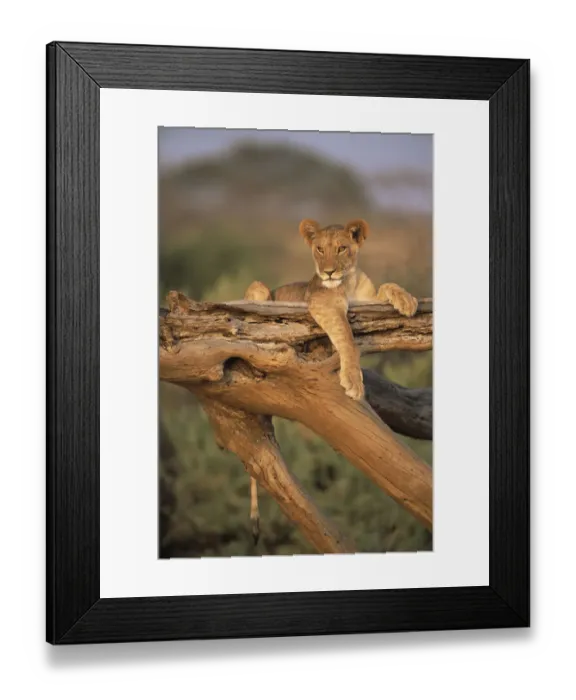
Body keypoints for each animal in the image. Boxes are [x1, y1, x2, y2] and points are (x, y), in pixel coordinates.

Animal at [243, 218, 419, 544]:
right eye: (319, 249)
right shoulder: (325, 305)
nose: (327, 272)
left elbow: (387, 286)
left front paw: (406, 300)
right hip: (259, 290)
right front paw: (353, 381)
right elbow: (346, 336)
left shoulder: (368, 298)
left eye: (341, 248)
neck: (347, 283)